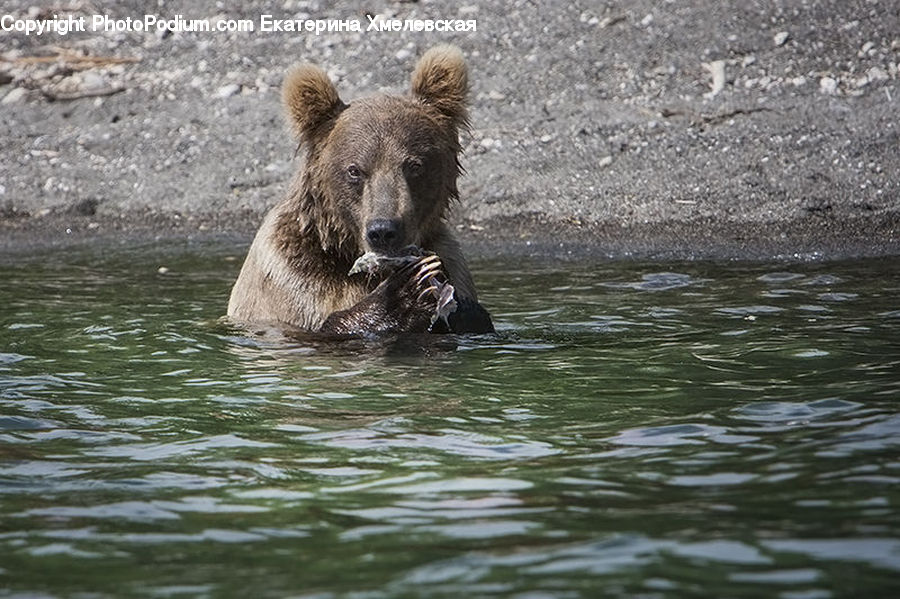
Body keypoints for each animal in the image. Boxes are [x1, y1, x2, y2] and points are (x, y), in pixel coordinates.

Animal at [227, 45, 494, 336]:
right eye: (354, 170)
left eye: (414, 165)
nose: (384, 231)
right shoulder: (294, 283)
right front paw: (402, 296)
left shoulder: (453, 260)